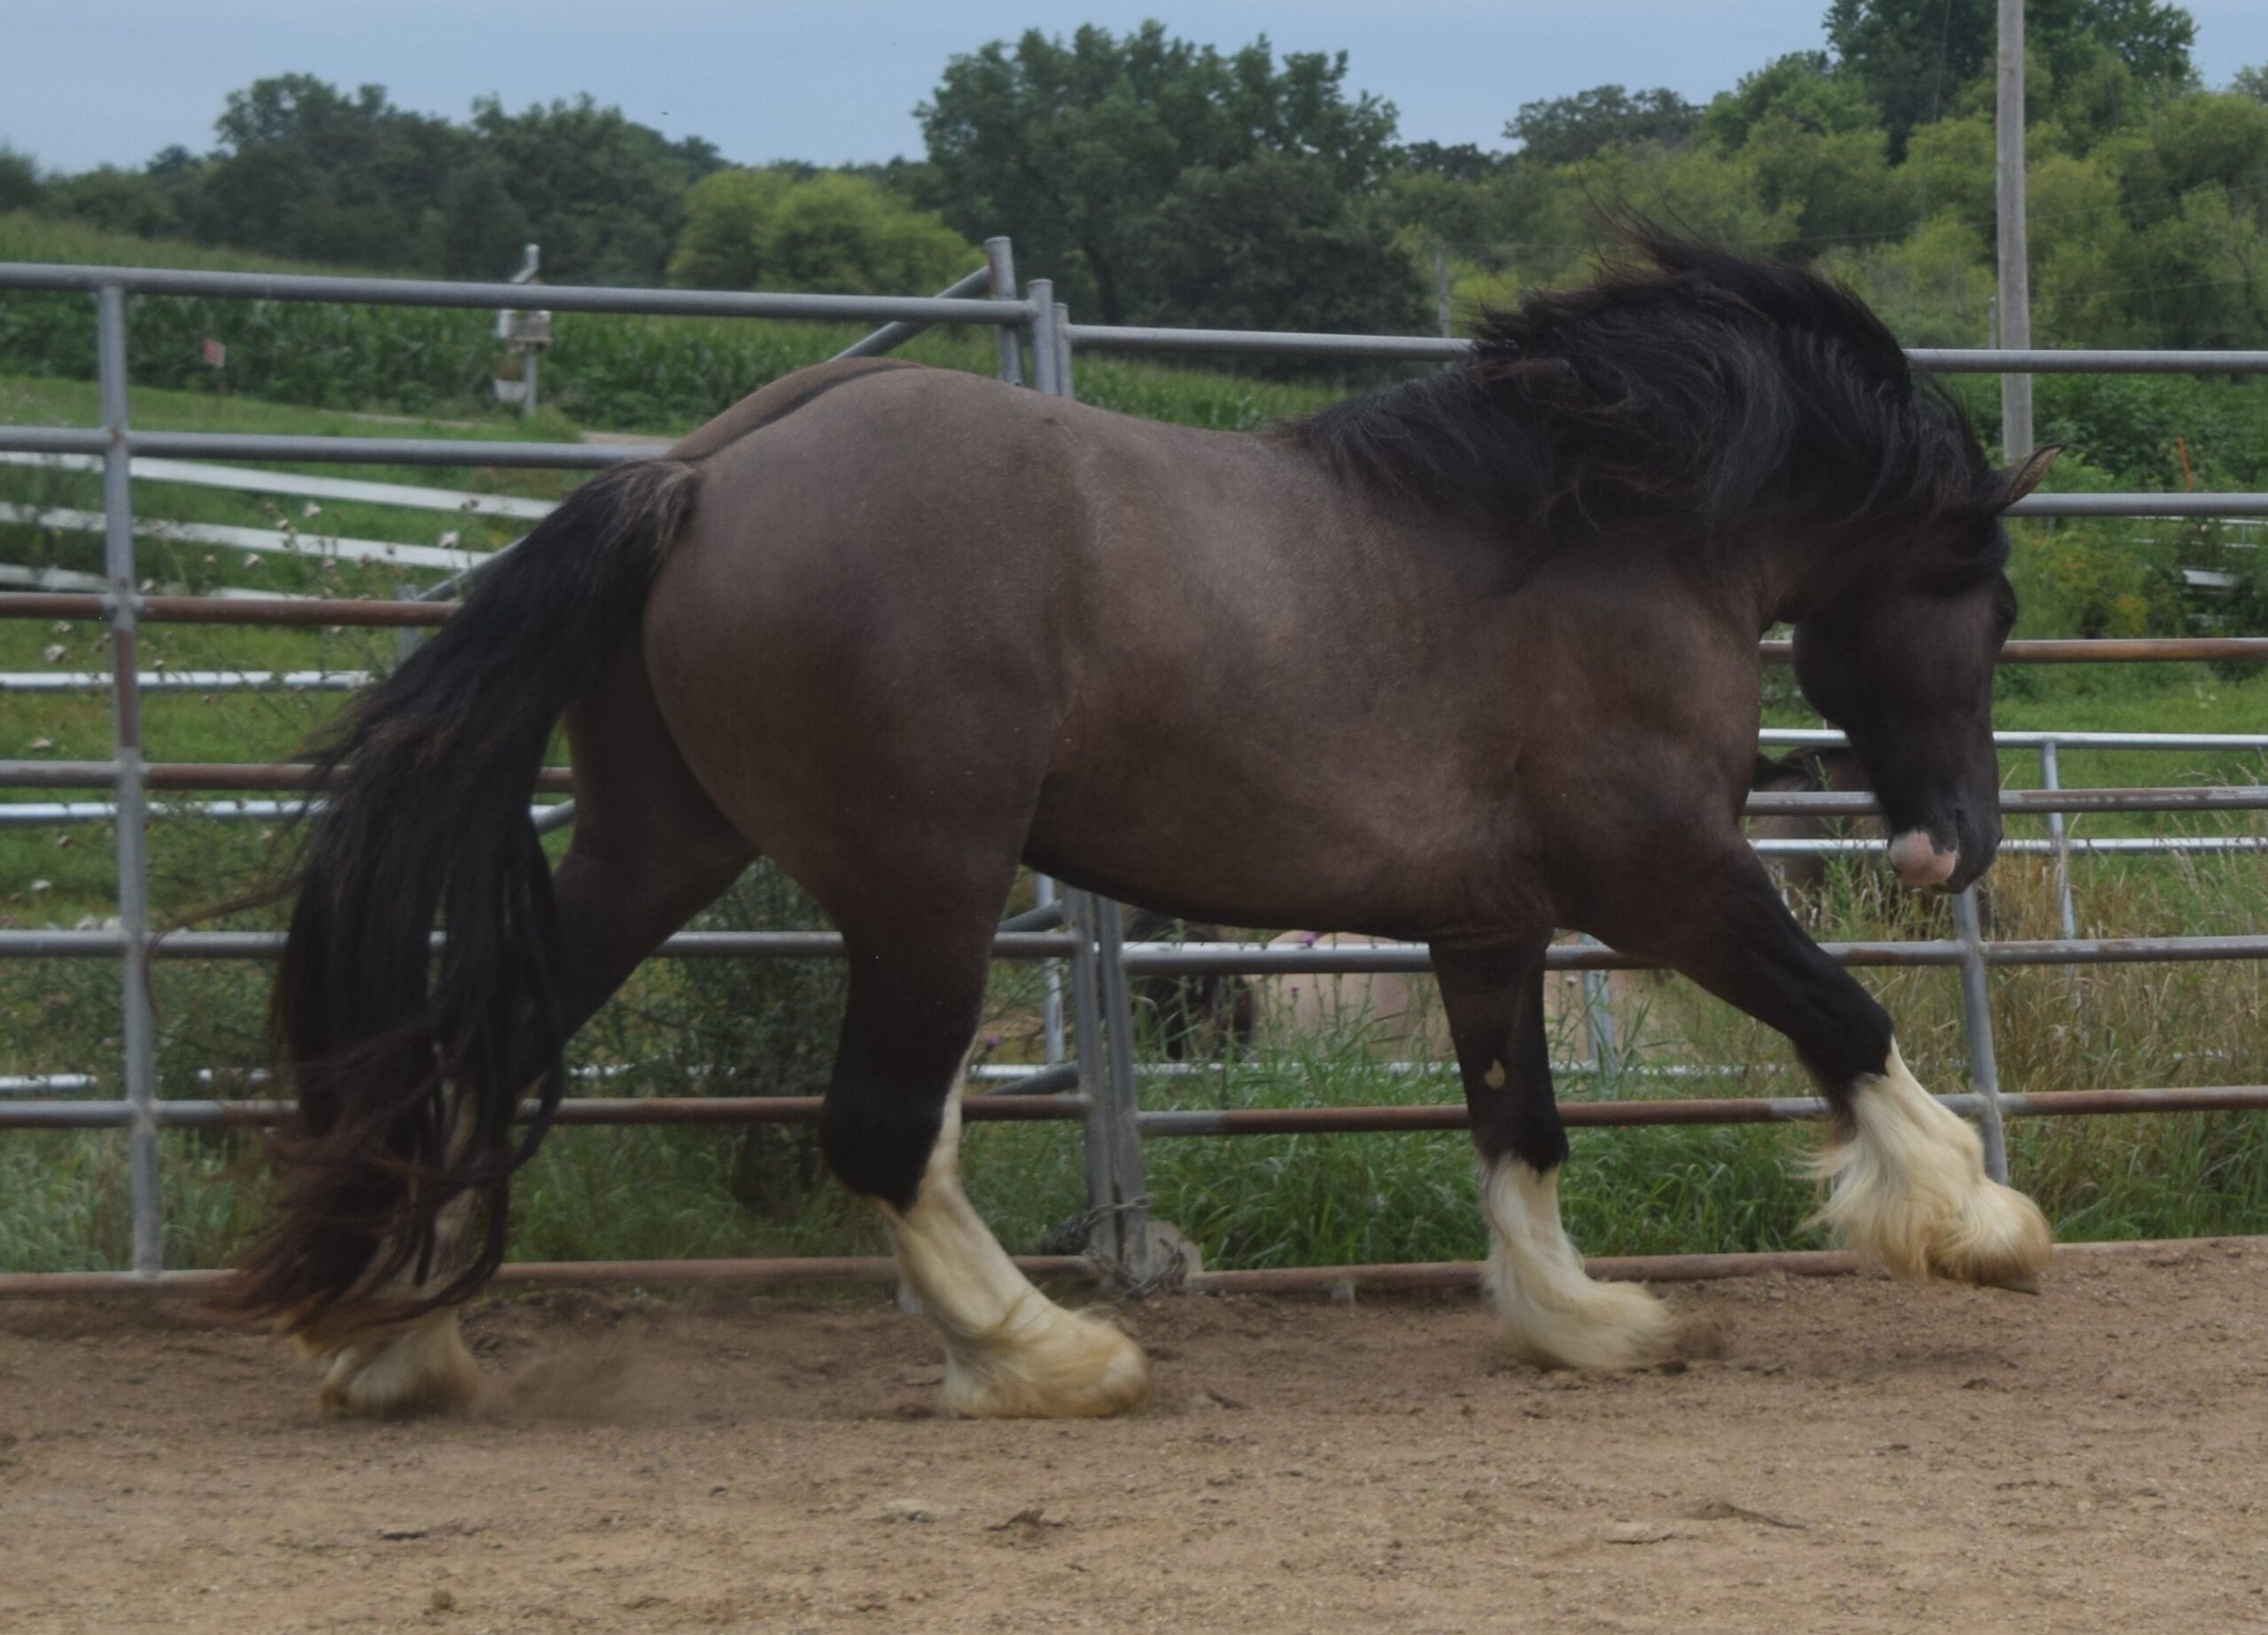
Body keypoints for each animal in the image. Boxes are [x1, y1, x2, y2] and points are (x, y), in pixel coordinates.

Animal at [222, 236, 2062, 1418]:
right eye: (1986, 595)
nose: (1951, 847)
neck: (1603, 525)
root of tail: (697, 478)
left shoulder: (1488, 920)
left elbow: (1517, 1124)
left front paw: (1584, 1324)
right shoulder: (1665, 876)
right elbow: (1844, 1017)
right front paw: (1979, 1224)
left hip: (655, 846)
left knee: (481, 1048)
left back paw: (394, 1347)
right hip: (926, 883)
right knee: (878, 1129)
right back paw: (1051, 1359)